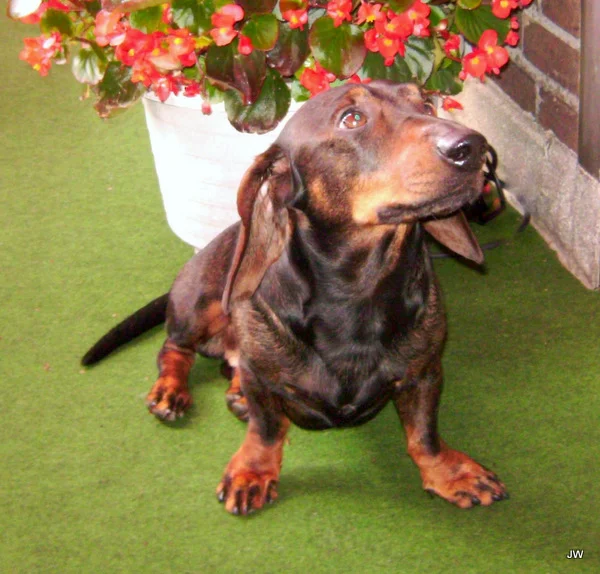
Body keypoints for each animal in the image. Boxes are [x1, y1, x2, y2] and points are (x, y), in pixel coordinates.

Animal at [84, 81, 506, 516]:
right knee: (174, 349)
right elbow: (266, 429)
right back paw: (170, 390)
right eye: (352, 118)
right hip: (199, 304)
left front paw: (449, 472)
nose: (473, 147)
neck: (358, 292)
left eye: (425, 103)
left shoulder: (425, 372)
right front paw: (252, 471)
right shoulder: (261, 379)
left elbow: (423, 433)